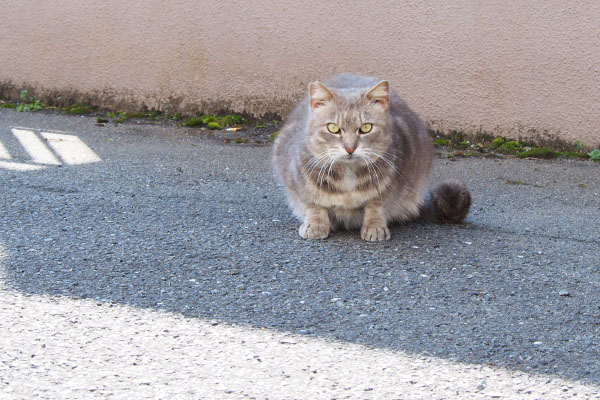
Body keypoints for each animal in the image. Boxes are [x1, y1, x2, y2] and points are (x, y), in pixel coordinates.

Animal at [274, 74, 474, 241]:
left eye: (365, 128)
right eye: (333, 128)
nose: (350, 148)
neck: (348, 174)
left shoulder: (389, 186)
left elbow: (376, 206)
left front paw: (374, 227)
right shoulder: (297, 182)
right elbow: (314, 204)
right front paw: (315, 224)